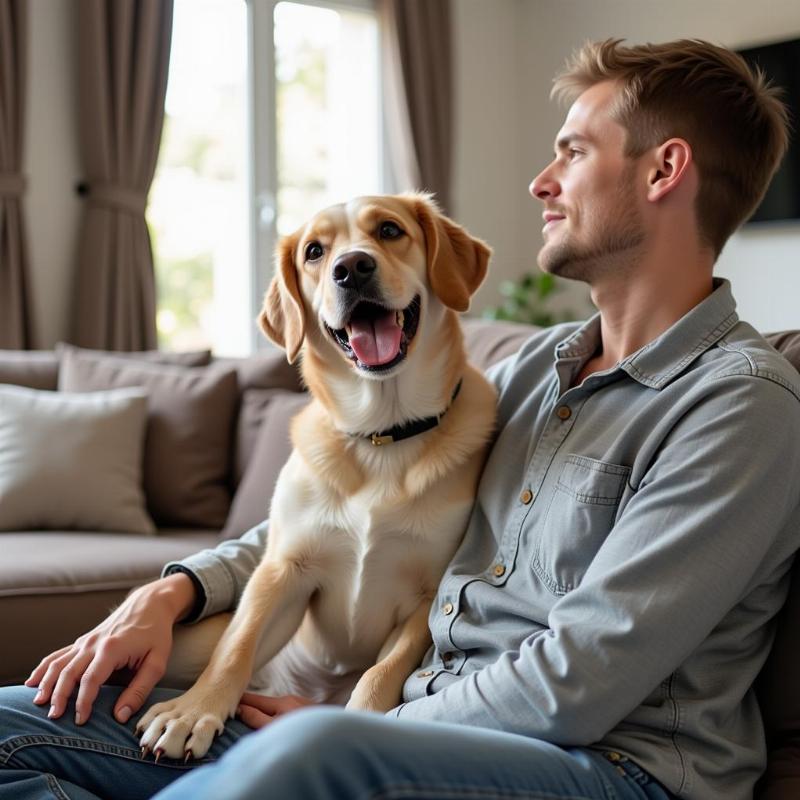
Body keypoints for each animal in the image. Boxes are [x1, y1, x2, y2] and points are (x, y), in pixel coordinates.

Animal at [138, 192, 500, 756]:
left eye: (390, 230)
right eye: (314, 251)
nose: (351, 268)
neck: (380, 436)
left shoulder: (427, 598)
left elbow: (379, 674)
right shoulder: (283, 569)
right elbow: (236, 645)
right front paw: (194, 710)